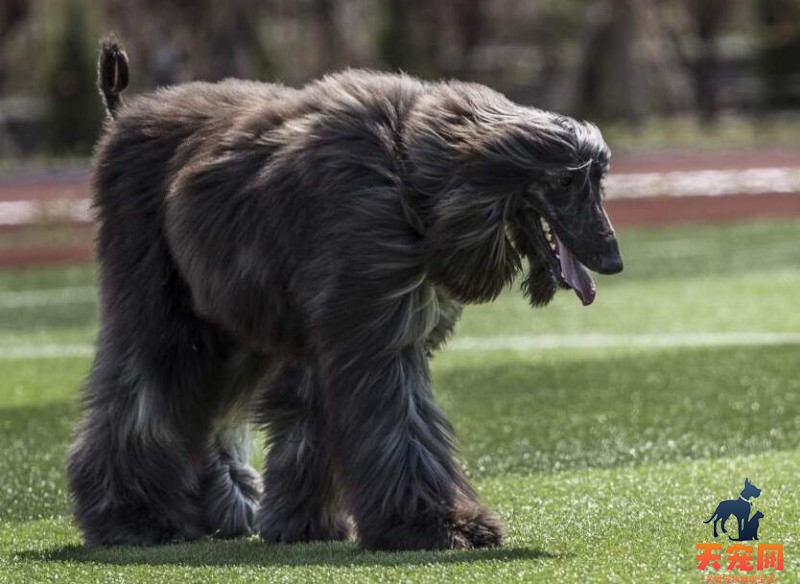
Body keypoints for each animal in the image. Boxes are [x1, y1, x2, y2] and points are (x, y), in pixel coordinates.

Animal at [67, 37, 624, 552]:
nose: (614, 260)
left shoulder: (333, 330)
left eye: (598, 180)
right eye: (570, 182)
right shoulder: (372, 330)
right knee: (141, 396)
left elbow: (309, 425)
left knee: (206, 412)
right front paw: (433, 524)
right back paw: (130, 516)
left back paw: (219, 508)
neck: (410, 182)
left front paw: (303, 522)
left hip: (233, 325)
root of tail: (123, 116)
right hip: (164, 308)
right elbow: (397, 425)